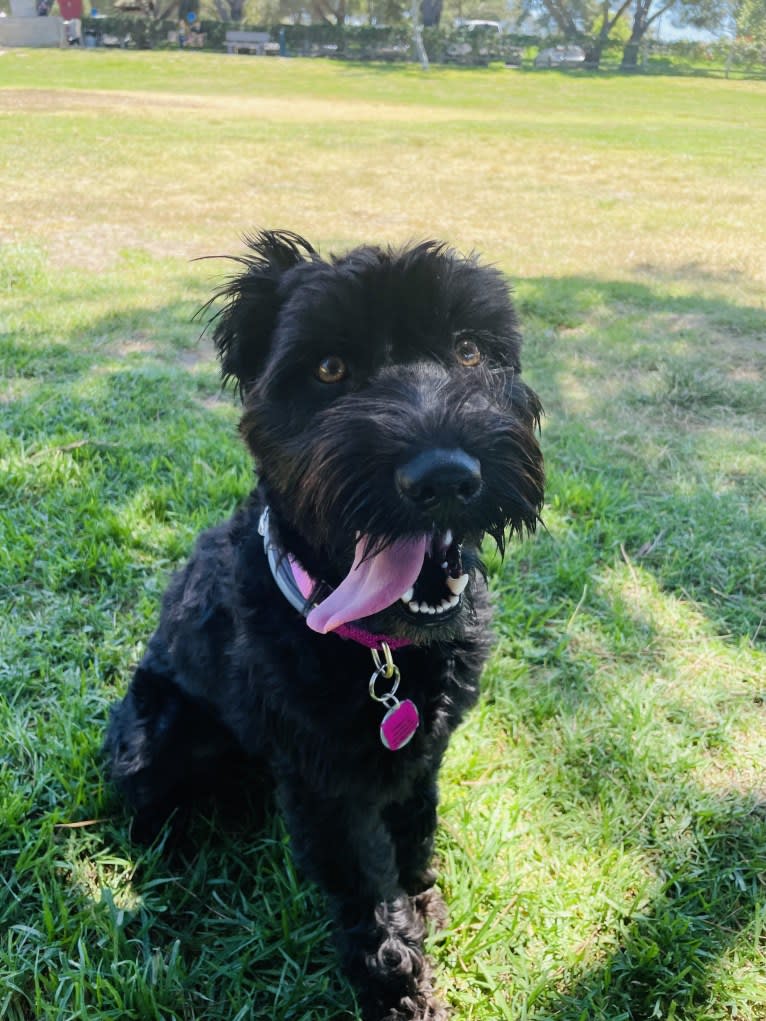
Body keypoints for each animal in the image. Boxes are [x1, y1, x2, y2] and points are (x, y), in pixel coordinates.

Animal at [108, 231, 547, 1021]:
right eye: (329, 368)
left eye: (469, 350)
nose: (444, 475)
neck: (382, 650)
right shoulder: (327, 790)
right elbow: (369, 900)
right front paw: (402, 993)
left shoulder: (420, 755)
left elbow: (414, 834)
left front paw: (423, 900)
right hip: (150, 738)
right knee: (145, 809)